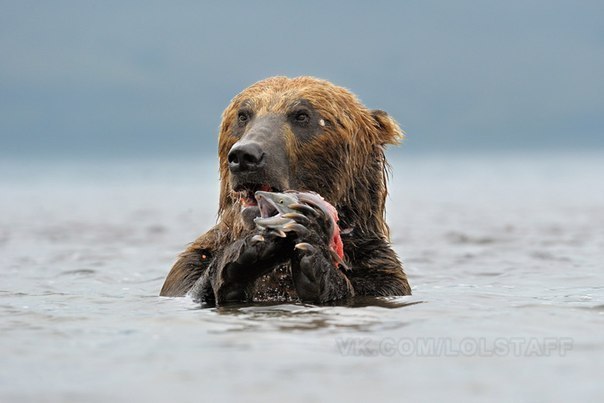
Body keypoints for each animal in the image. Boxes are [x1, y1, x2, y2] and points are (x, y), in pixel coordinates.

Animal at [162, 76, 410, 306]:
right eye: (243, 115)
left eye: (301, 115)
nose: (245, 155)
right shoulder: (188, 268)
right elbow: (193, 283)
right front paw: (247, 253)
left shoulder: (380, 273)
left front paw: (313, 250)